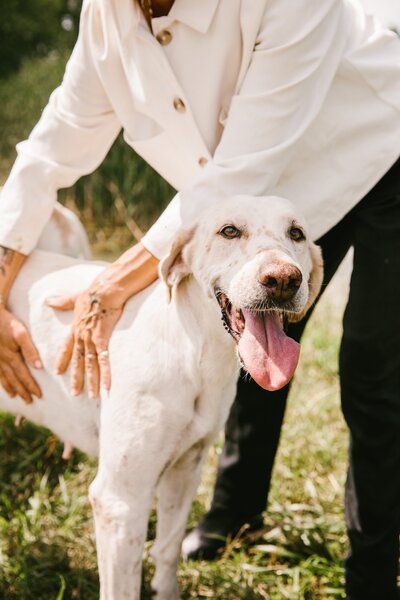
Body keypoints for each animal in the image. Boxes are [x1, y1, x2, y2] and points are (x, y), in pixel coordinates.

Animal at [0, 195, 324, 596]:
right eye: (229, 231)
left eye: (297, 233)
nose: (283, 279)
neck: (196, 357)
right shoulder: (119, 502)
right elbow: (121, 589)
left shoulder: (185, 470)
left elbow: (168, 549)